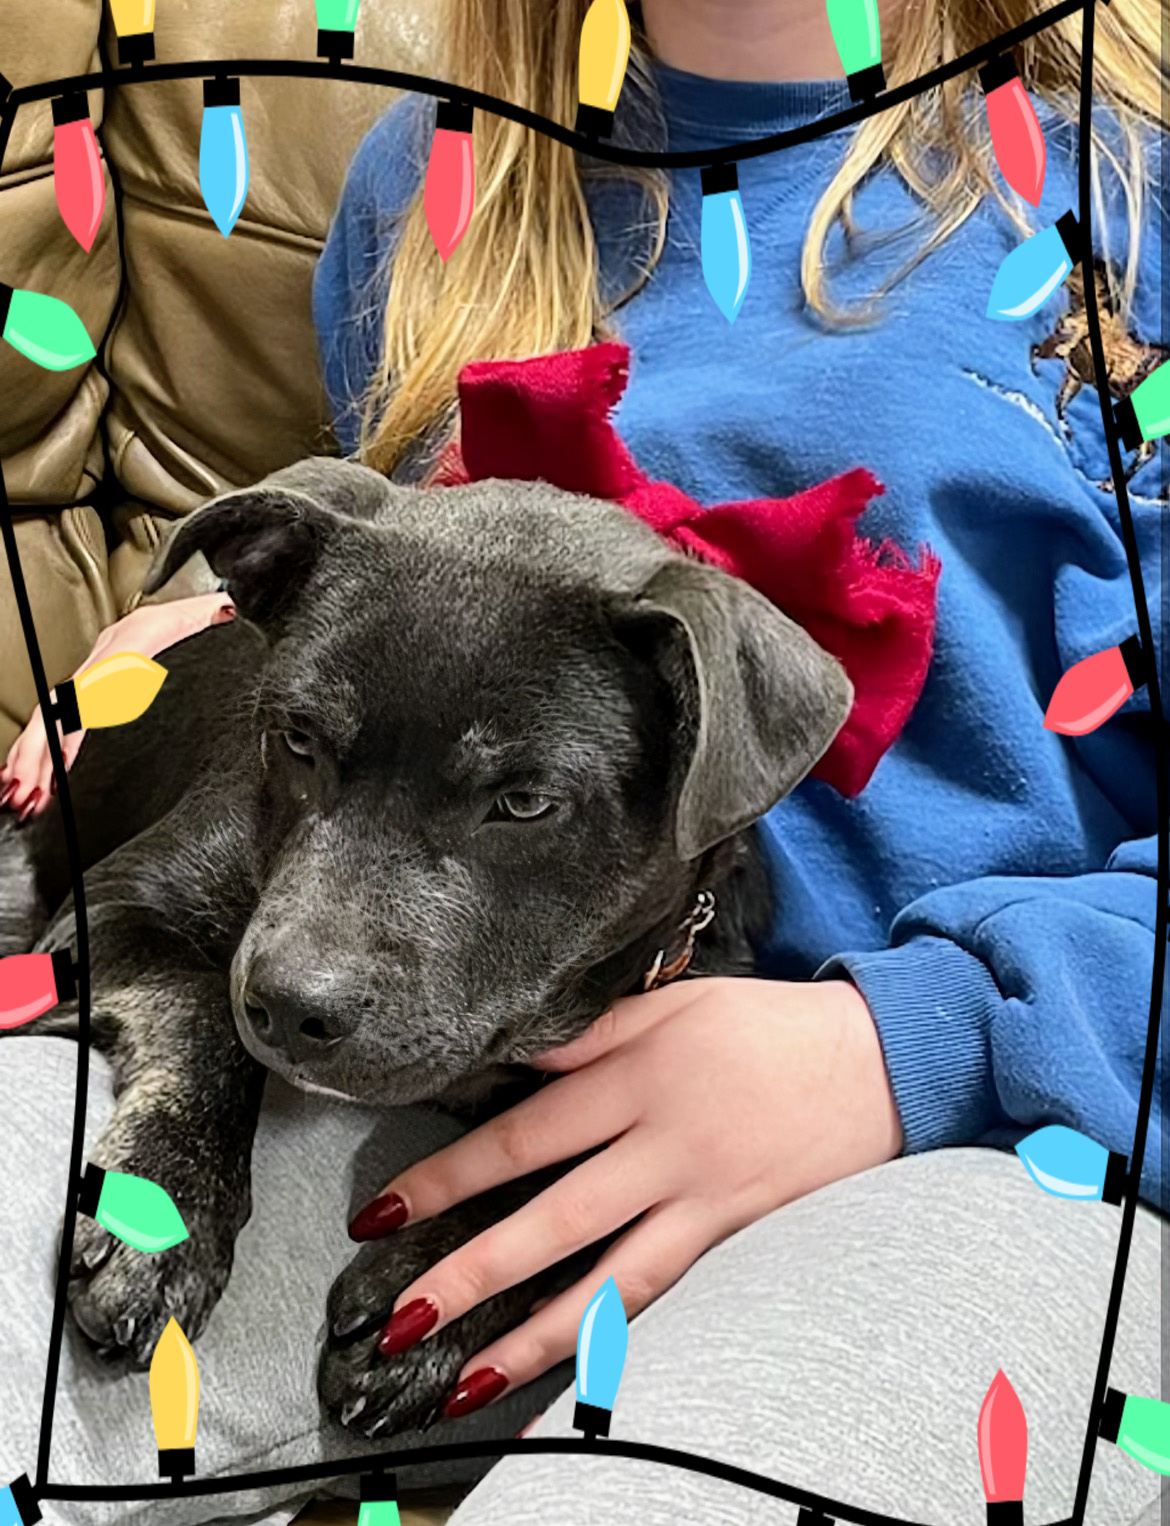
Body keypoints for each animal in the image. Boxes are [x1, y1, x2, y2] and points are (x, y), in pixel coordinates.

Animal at [2, 451, 854, 1440]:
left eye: (524, 802)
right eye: (295, 739)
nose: (288, 1009)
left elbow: (595, 1157)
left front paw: (429, 1297)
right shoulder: (115, 903)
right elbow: (203, 1006)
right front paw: (161, 1213)